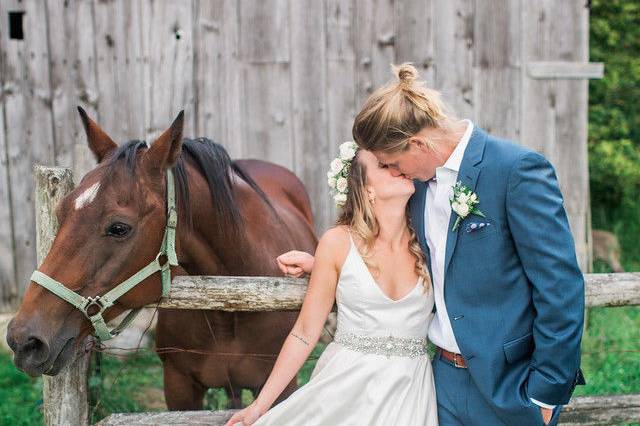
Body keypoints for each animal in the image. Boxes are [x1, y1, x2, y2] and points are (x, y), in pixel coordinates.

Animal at [5, 107, 316, 410]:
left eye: (119, 228)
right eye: (61, 213)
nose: (23, 340)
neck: (233, 304)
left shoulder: (282, 387)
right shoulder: (179, 386)